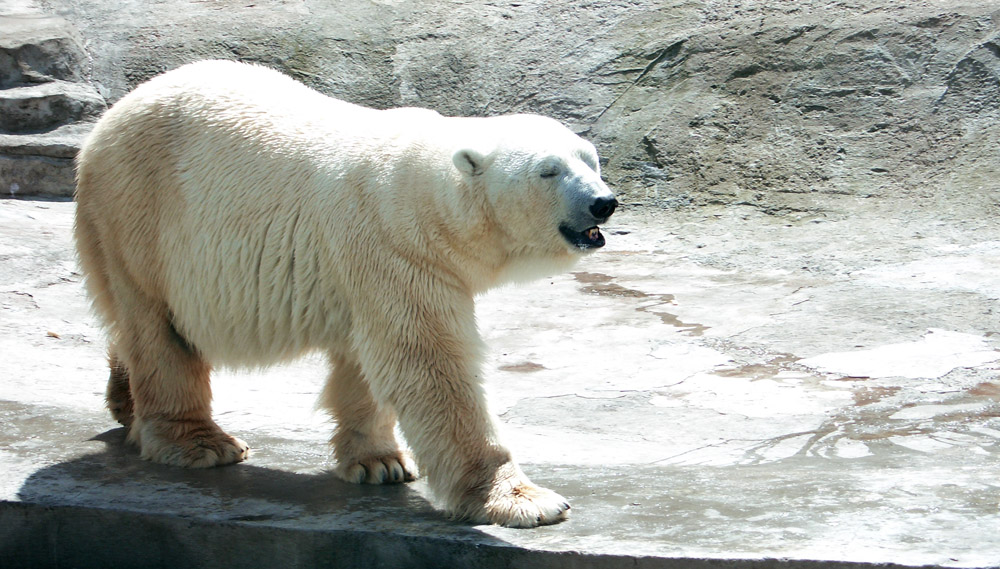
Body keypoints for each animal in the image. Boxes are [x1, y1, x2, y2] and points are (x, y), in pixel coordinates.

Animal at [72, 60, 616, 524]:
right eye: (548, 170)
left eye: (590, 160)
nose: (603, 202)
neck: (422, 193)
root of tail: (107, 120)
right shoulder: (394, 248)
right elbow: (431, 365)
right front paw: (525, 499)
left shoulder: (367, 267)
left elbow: (364, 360)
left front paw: (381, 463)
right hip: (138, 214)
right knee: (158, 327)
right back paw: (200, 443)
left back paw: (123, 400)